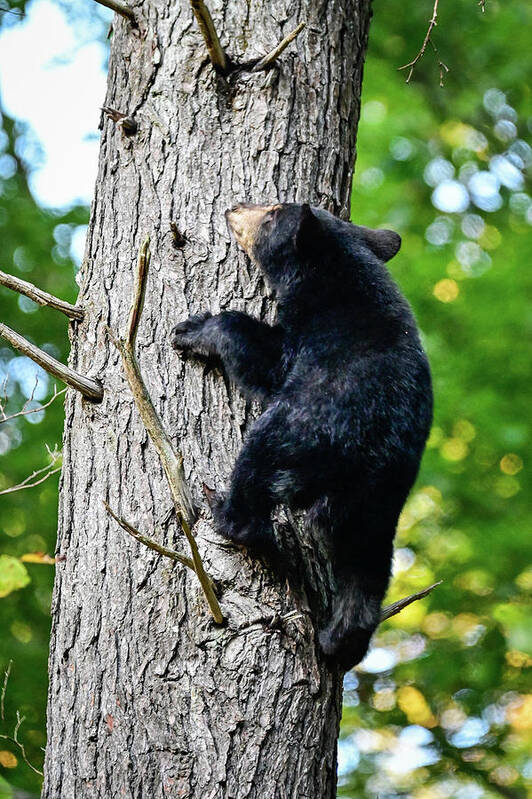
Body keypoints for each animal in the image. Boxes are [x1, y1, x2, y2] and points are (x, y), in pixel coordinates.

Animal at [172, 205, 434, 668]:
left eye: (272, 212)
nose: (234, 208)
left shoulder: (309, 333)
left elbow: (265, 359)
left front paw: (195, 329)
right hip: (381, 505)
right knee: (365, 569)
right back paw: (339, 640)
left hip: (295, 435)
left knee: (256, 469)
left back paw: (225, 510)